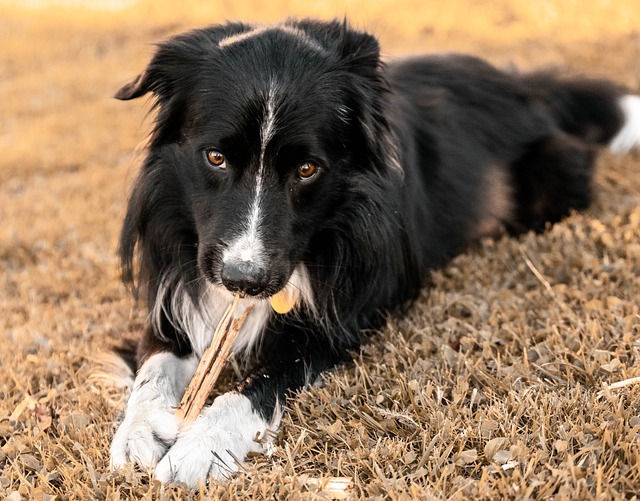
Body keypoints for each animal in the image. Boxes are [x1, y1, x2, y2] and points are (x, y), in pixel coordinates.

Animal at [110, 18, 640, 484]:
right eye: (215, 157)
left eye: (307, 169)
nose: (245, 281)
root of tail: (521, 83)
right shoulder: (176, 294)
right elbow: (154, 367)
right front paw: (136, 435)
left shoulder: (338, 323)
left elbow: (256, 386)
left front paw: (199, 448)